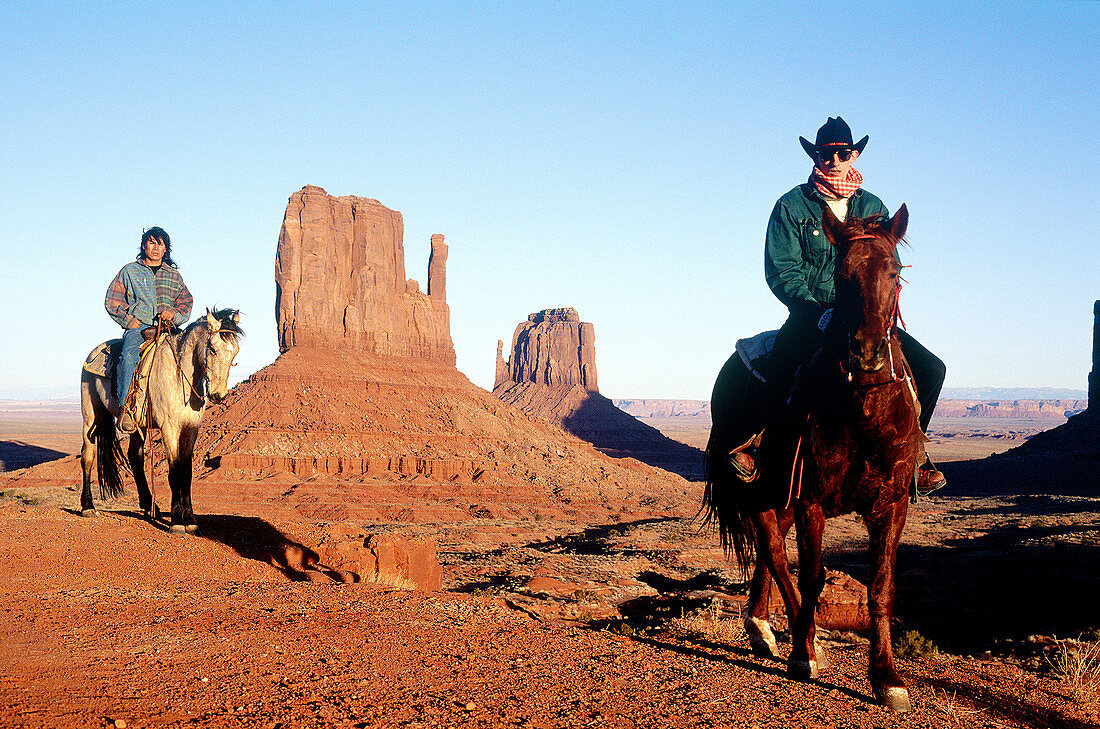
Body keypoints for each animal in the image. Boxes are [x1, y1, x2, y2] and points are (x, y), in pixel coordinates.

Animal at [80, 307, 243, 536]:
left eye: (235, 352)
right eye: (212, 349)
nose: (218, 395)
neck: (181, 377)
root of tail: (94, 352)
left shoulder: (191, 429)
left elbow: (186, 472)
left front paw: (191, 520)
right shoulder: (169, 428)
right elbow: (174, 471)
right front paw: (176, 521)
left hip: (137, 425)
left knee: (135, 457)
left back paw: (150, 506)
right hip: (90, 415)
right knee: (87, 456)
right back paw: (88, 507)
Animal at [704, 205, 919, 712]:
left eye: (894, 271)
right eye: (841, 276)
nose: (866, 352)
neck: (863, 413)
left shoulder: (892, 504)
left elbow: (881, 588)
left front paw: (887, 679)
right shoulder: (811, 500)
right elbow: (812, 576)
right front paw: (803, 656)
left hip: (777, 493)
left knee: (770, 551)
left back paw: (763, 627)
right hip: (761, 488)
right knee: (774, 553)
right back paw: (791, 636)